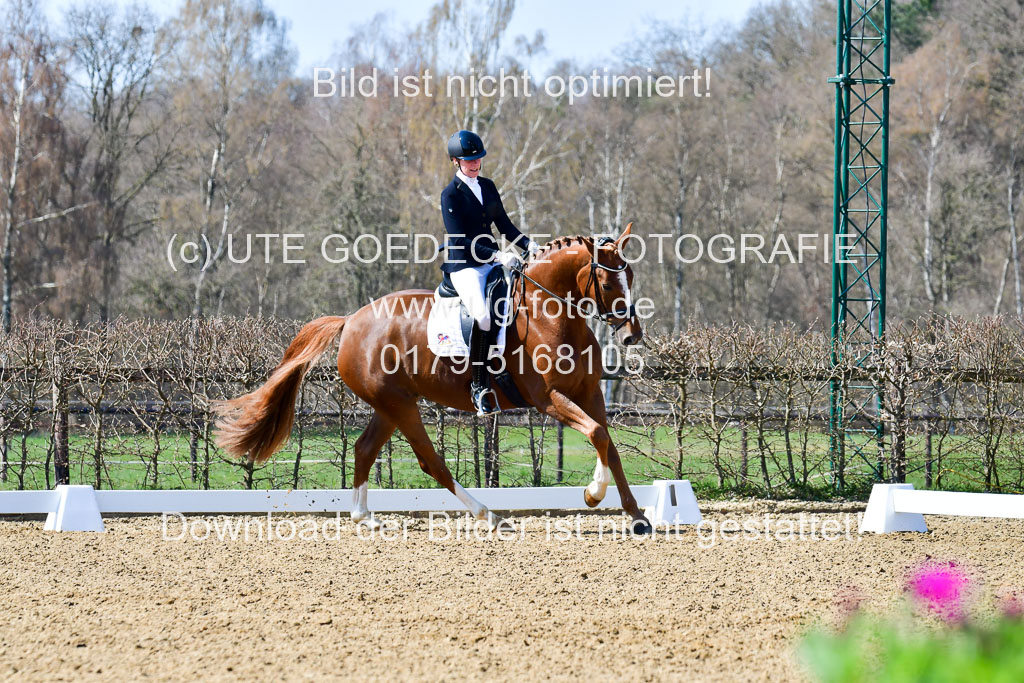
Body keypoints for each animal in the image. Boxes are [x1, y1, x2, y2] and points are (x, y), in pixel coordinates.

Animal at [212, 224, 651, 532]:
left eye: (631, 275)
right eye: (608, 281)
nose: (632, 335)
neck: (550, 313)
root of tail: (351, 319)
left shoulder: (590, 394)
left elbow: (607, 443)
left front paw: (636, 515)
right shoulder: (549, 400)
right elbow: (596, 434)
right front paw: (593, 495)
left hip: (391, 404)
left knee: (364, 449)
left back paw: (364, 517)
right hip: (399, 405)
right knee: (430, 461)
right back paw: (490, 517)